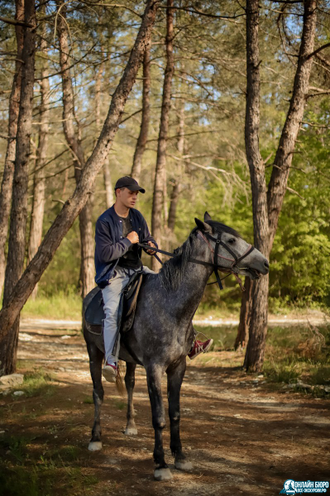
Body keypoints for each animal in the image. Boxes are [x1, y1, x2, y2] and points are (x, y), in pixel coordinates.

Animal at [82, 213, 268, 480]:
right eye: (231, 240)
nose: (265, 263)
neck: (170, 305)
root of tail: (90, 296)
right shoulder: (155, 368)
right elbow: (159, 417)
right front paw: (160, 464)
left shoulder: (178, 368)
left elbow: (175, 413)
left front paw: (180, 456)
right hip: (93, 353)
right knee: (98, 392)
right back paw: (95, 438)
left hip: (129, 360)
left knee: (129, 384)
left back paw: (130, 426)